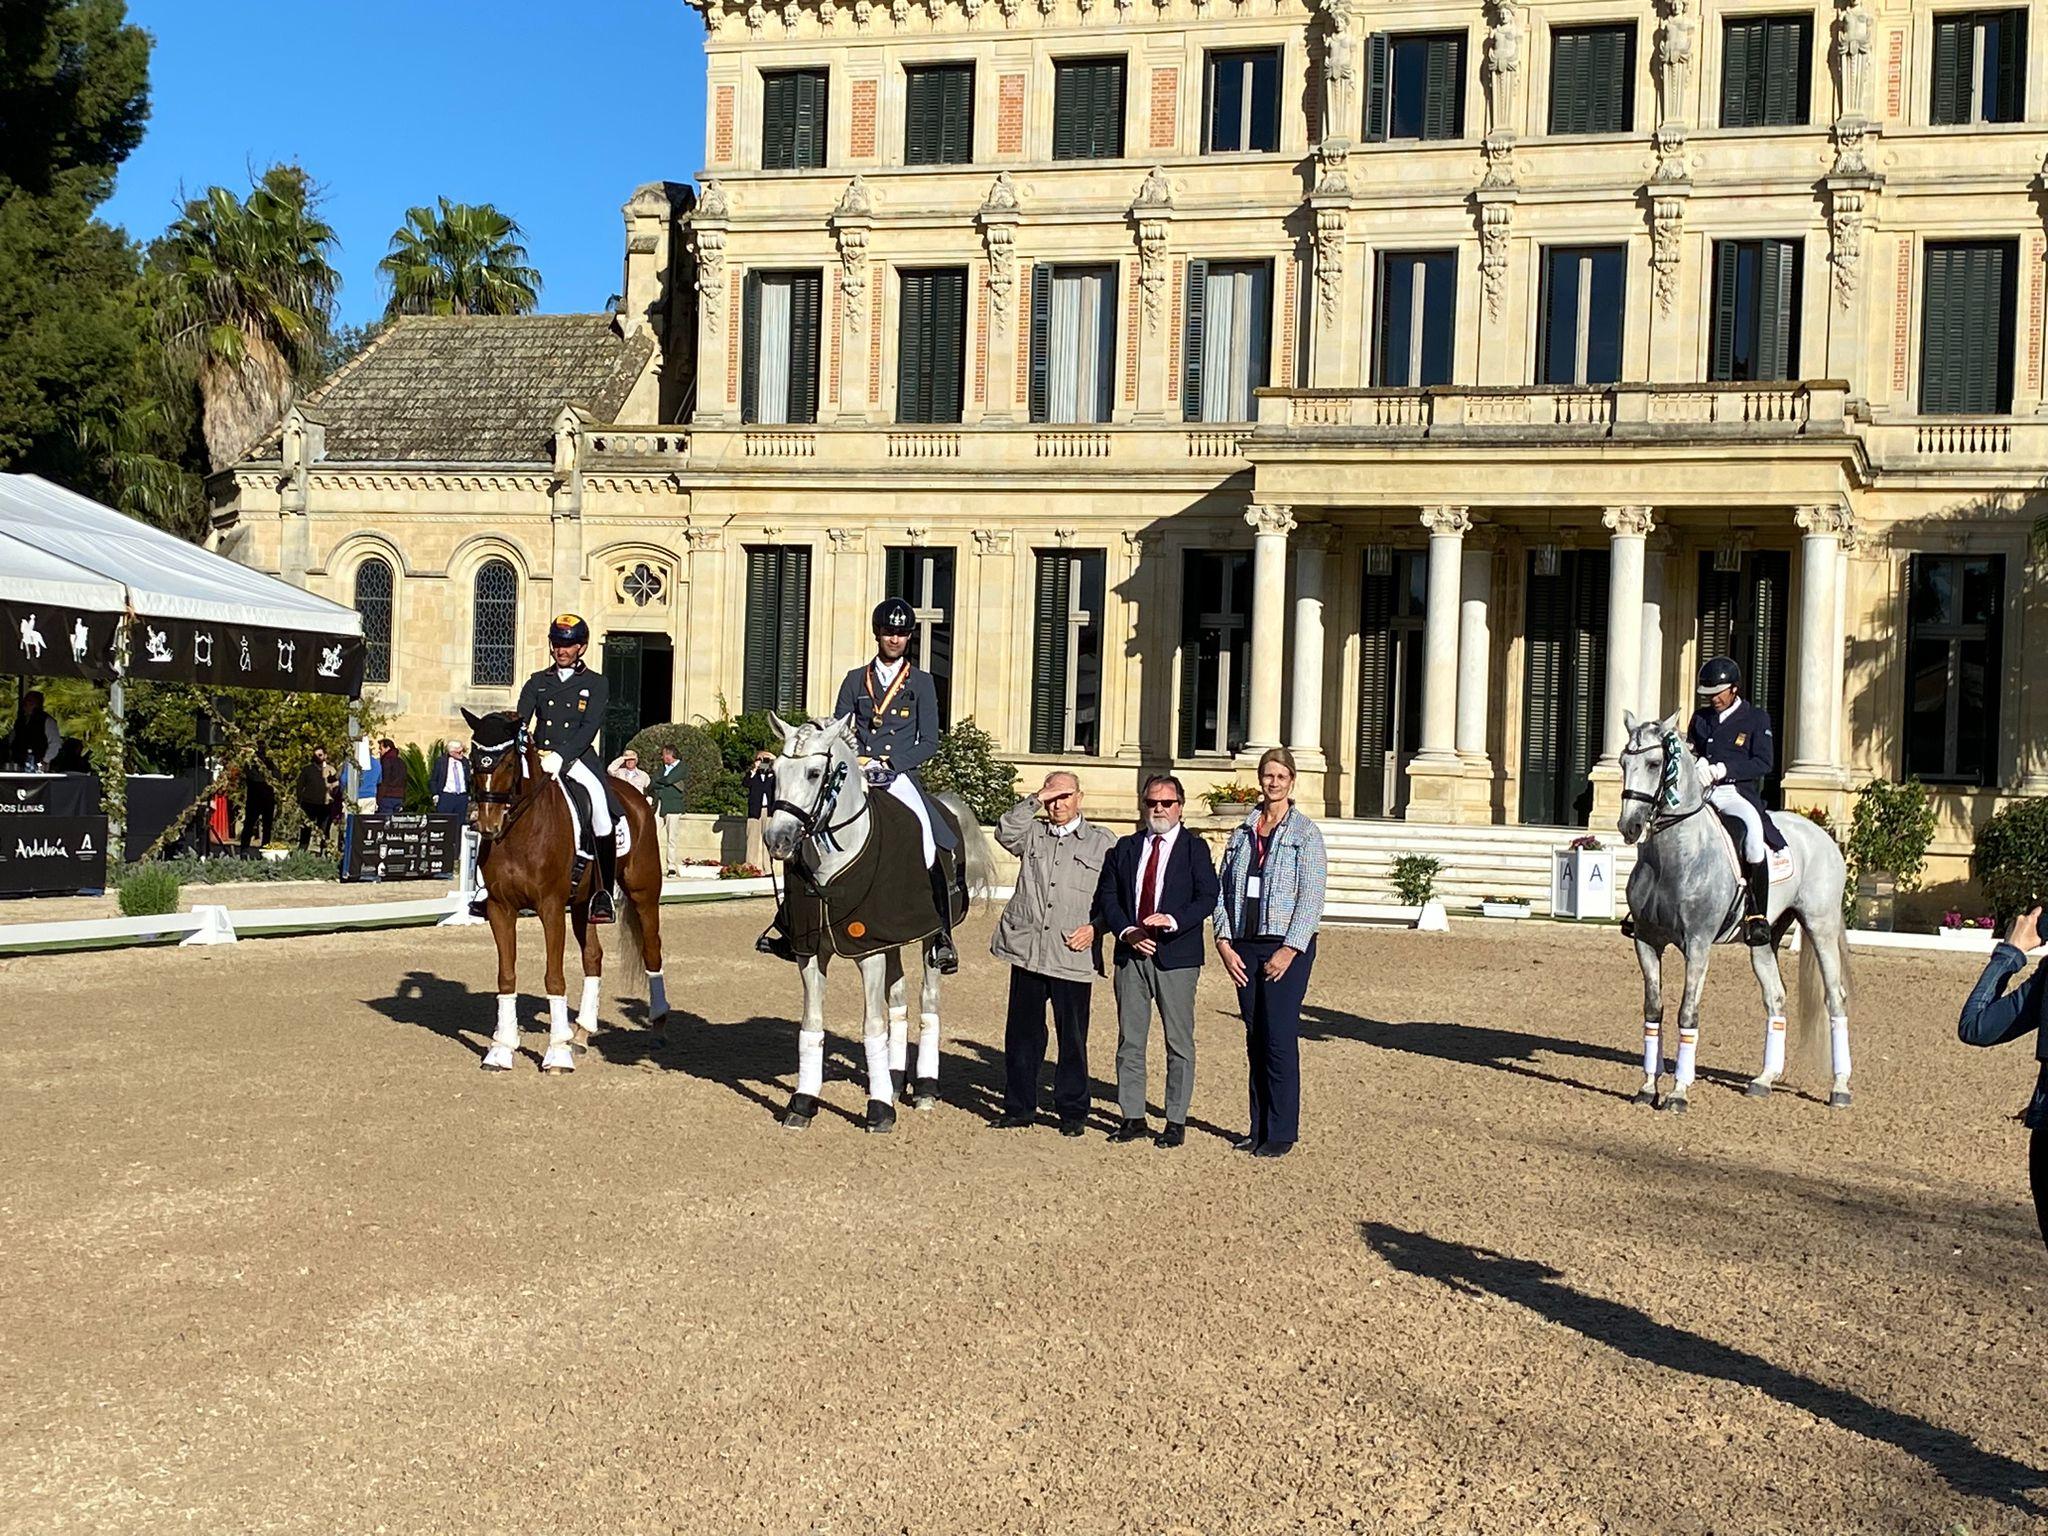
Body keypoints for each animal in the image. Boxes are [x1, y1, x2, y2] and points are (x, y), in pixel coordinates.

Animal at [460, 708, 667, 1073]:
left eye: (509, 763)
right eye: (473, 760)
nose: (487, 825)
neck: (521, 831)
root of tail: (634, 796)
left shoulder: (551, 907)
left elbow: (554, 977)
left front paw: (556, 1053)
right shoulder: (500, 908)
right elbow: (506, 976)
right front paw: (500, 1050)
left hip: (643, 892)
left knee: (652, 950)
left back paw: (656, 1027)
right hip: (586, 903)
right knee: (593, 956)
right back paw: (582, 1033)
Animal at [765, 716, 995, 1138]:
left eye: (814, 772)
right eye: (773, 773)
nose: (778, 841)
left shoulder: (867, 950)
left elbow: (871, 1026)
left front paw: (879, 1110)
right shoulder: (812, 952)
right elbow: (812, 1025)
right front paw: (803, 1103)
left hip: (928, 941)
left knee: (927, 1001)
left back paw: (924, 1089)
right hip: (893, 937)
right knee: (899, 1002)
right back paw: (894, 1077)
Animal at [1613, 708, 1859, 1122]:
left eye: (1653, 763)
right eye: (1622, 763)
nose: (1628, 827)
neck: (1673, 857)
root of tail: (1821, 833)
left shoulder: (1698, 945)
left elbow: (1687, 1014)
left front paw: (1678, 1092)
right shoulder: (1647, 941)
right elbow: (1653, 1010)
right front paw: (1647, 1088)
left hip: (1820, 926)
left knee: (1836, 997)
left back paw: (1839, 1087)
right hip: (1764, 939)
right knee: (1776, 998)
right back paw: (1764, 1080)